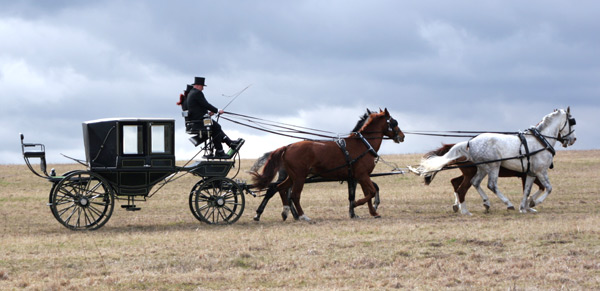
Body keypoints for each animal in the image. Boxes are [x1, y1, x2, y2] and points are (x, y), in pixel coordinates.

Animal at [248, 109, 404, 221]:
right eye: (394, 122)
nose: (402, 136)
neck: (363, 145)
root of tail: (287, 147)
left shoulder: (359, 177)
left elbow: (367, 193)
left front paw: (372, 212)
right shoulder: (362, 175)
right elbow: (369, 192)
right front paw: (356, 206)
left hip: (292, 177)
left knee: (277, 188)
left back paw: (273, 213)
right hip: (300, 177)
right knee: (294, 195)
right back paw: (302, 216)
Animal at [414, 107, 576, 214]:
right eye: (572, 121)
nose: (573, 139)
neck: (541, 140)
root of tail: (469, 142)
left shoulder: (530, 173)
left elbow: (527, 190)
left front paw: (524, 207)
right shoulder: (541, 171)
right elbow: (548, 188)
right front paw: (533, 203)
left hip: (482, 168)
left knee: (473, 183)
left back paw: (483, 204)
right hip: (493, 166)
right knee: (488, 185)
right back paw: (500, 205)